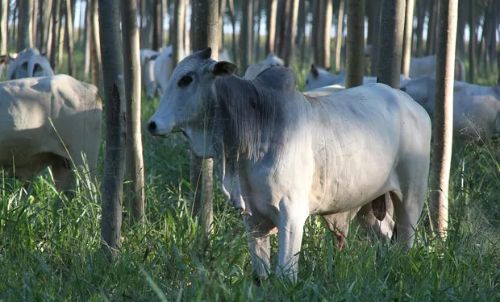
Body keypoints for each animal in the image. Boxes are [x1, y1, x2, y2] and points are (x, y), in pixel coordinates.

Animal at [147, 49, 430, 280]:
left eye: (186, 79)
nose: (151, 124)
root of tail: (415, 106)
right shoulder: (252, 217)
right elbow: (261, 274)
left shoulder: (292, 216)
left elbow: (285, 274)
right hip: (367, 204)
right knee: (386, 234)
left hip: (411, 197)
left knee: (405, 241)